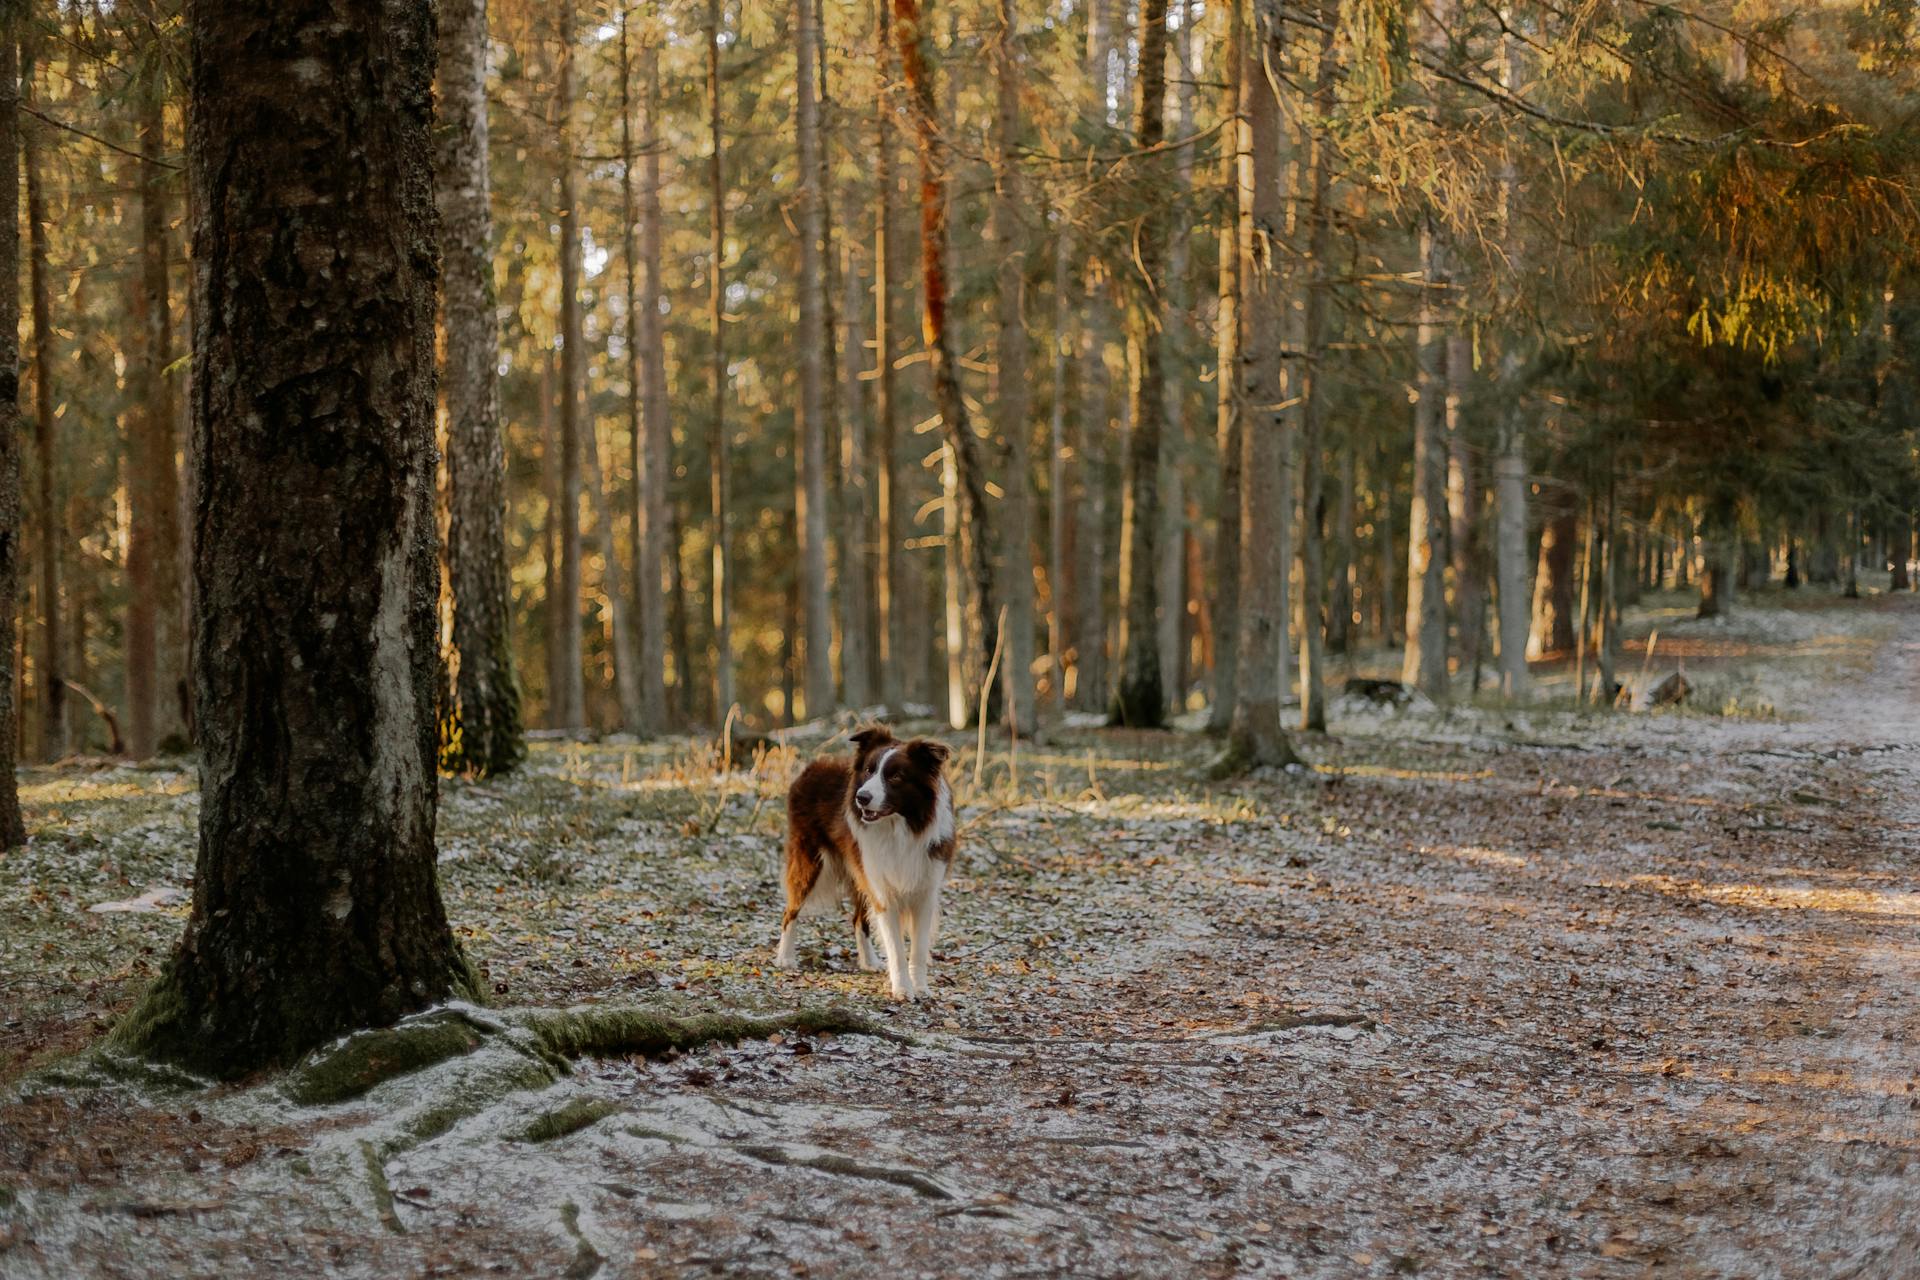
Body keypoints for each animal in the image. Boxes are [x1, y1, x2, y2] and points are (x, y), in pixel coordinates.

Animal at [775, 725, 956, 997]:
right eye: (869, 771)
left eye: (896, 776)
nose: (861, 797)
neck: (900, 827)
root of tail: (813, 765)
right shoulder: (883, 888)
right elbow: (896, 947)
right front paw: (902, 989)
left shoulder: (925, 889)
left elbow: (918, 947)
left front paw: (920, 987)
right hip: (811, 860)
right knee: (791, 910)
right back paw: (785, 958)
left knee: (859, 919)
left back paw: (869, 962)